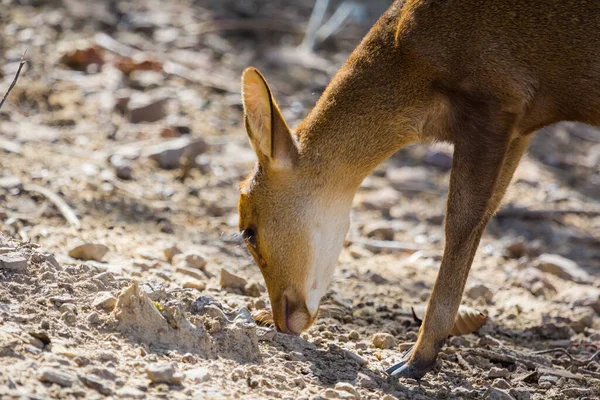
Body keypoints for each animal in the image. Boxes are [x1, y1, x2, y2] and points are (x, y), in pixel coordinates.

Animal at [237, 0, 596, 378]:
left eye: (249, 232)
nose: (282, 320)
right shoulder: (520, 126)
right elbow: (483, 217)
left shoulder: (494, 100)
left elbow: (460, 223)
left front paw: (413, 361)